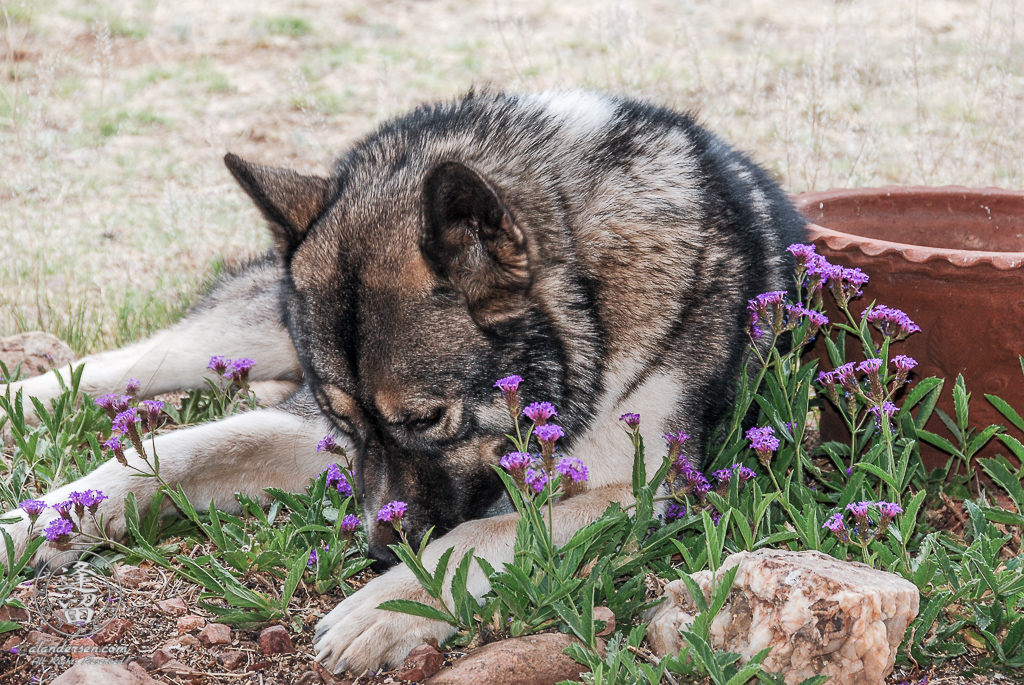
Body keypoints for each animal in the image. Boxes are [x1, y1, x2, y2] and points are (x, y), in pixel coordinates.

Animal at [0, 90, 806, 671]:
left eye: (426, 420)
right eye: (345, 421)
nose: (382, 554)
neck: (589, 281)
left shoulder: (645, 488)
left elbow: (493, 526)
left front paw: (385, 606)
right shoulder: (312, 427)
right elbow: (182, 450)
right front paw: (33, 524)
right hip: (237, 333)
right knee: (124, 364)